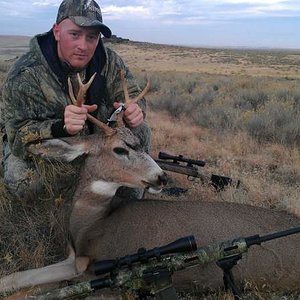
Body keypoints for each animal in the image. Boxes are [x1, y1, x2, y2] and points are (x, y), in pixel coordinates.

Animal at [0, 71, 300, 298]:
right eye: (120, 149)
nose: (161, 176)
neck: (91, 225)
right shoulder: (75, 262)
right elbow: (15, 279)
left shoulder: (100, 275)